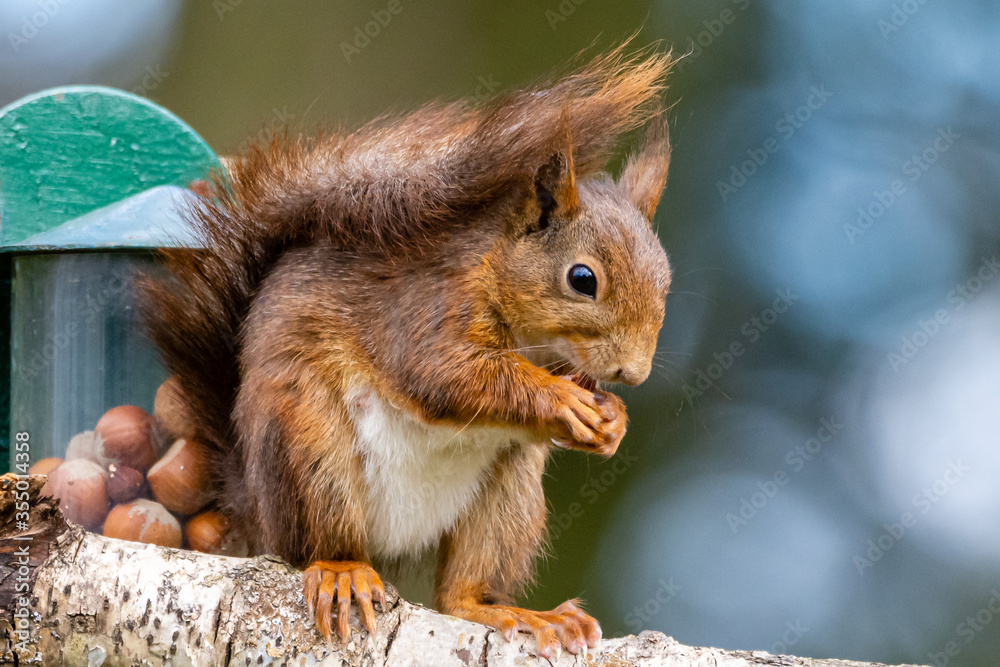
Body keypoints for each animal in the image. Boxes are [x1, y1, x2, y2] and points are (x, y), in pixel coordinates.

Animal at [141, 46, 674, 659]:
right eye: (582, 279)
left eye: (667, 281)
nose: (633, 373)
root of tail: (251, 508)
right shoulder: (423, 312)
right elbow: (444, 377)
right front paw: (562, 400)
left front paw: (613, 421)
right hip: (309, 448)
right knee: (318, 544)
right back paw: (342, 571)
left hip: (509, 491)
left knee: (459, 591)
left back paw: (515, 612)